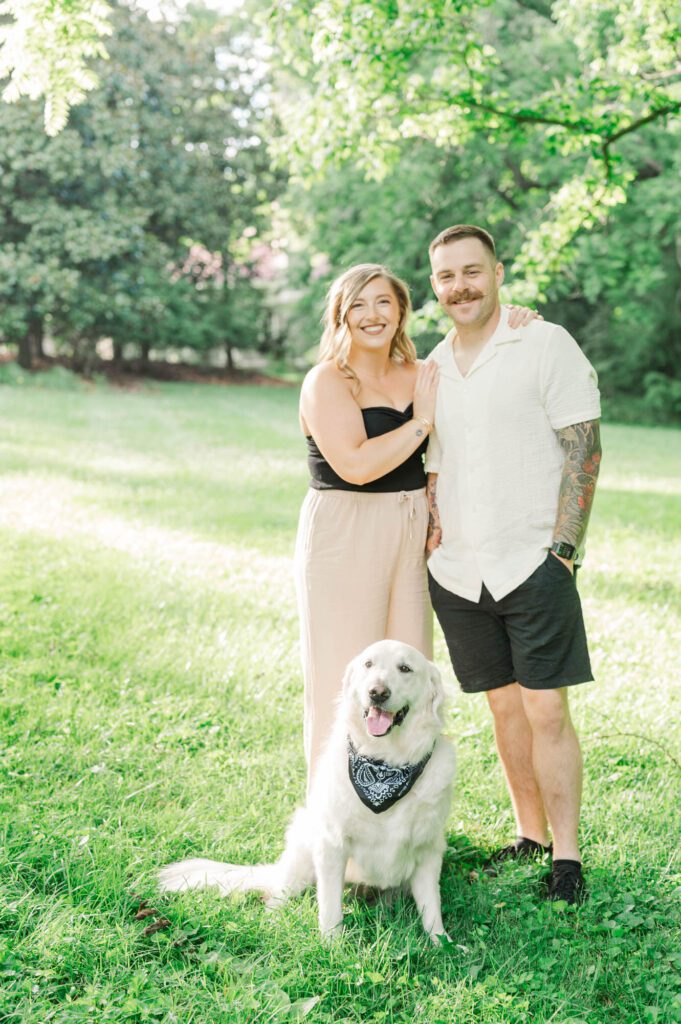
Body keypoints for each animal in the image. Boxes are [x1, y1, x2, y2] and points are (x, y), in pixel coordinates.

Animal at [159, 638, 456, 942]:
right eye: (368, 664)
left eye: (405, 668)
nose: (377, 693)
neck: (385, 766)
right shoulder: (331, 843)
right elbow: (330, 906)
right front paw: (332, 943)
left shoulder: (428, 850)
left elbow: (431, 906)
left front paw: (440, 943)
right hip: (302, 850)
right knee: (278, 895)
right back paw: (274, 922)